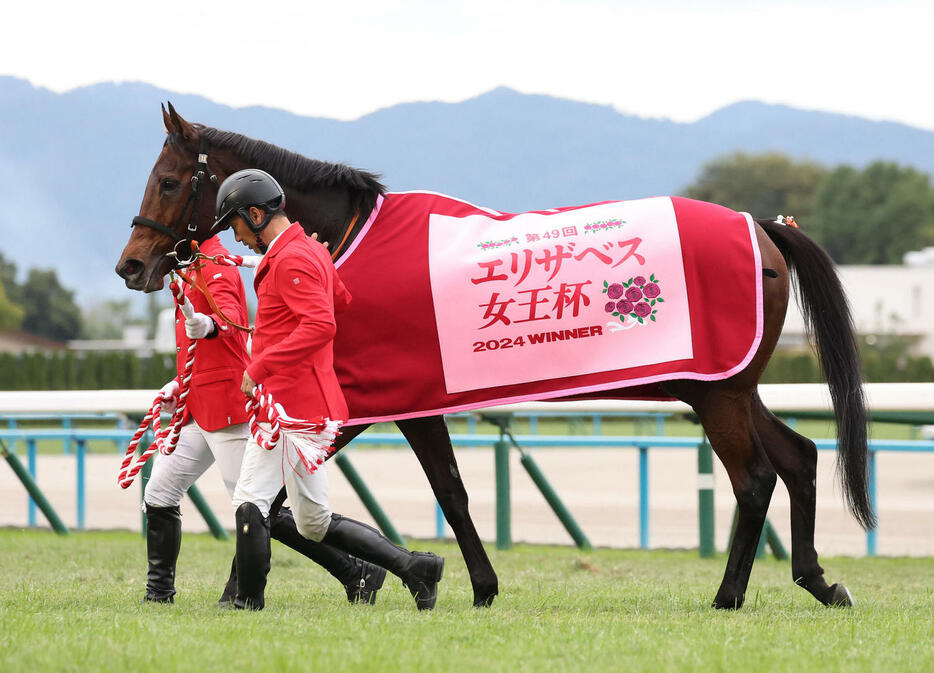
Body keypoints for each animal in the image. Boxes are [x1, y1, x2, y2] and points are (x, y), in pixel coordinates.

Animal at [117, 103, 876, 608]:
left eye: (167, 180)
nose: (131, 265)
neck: (347, 241)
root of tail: (765, 226)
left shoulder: (374, 396)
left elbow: (409, 495)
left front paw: (437, 578)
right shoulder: (381, 399)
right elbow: (328, 500)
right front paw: (443, 580)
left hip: (717, 393)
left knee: (753, 480)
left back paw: (728, 595)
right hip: (727, 386)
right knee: (798, 457)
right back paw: (819, 580)